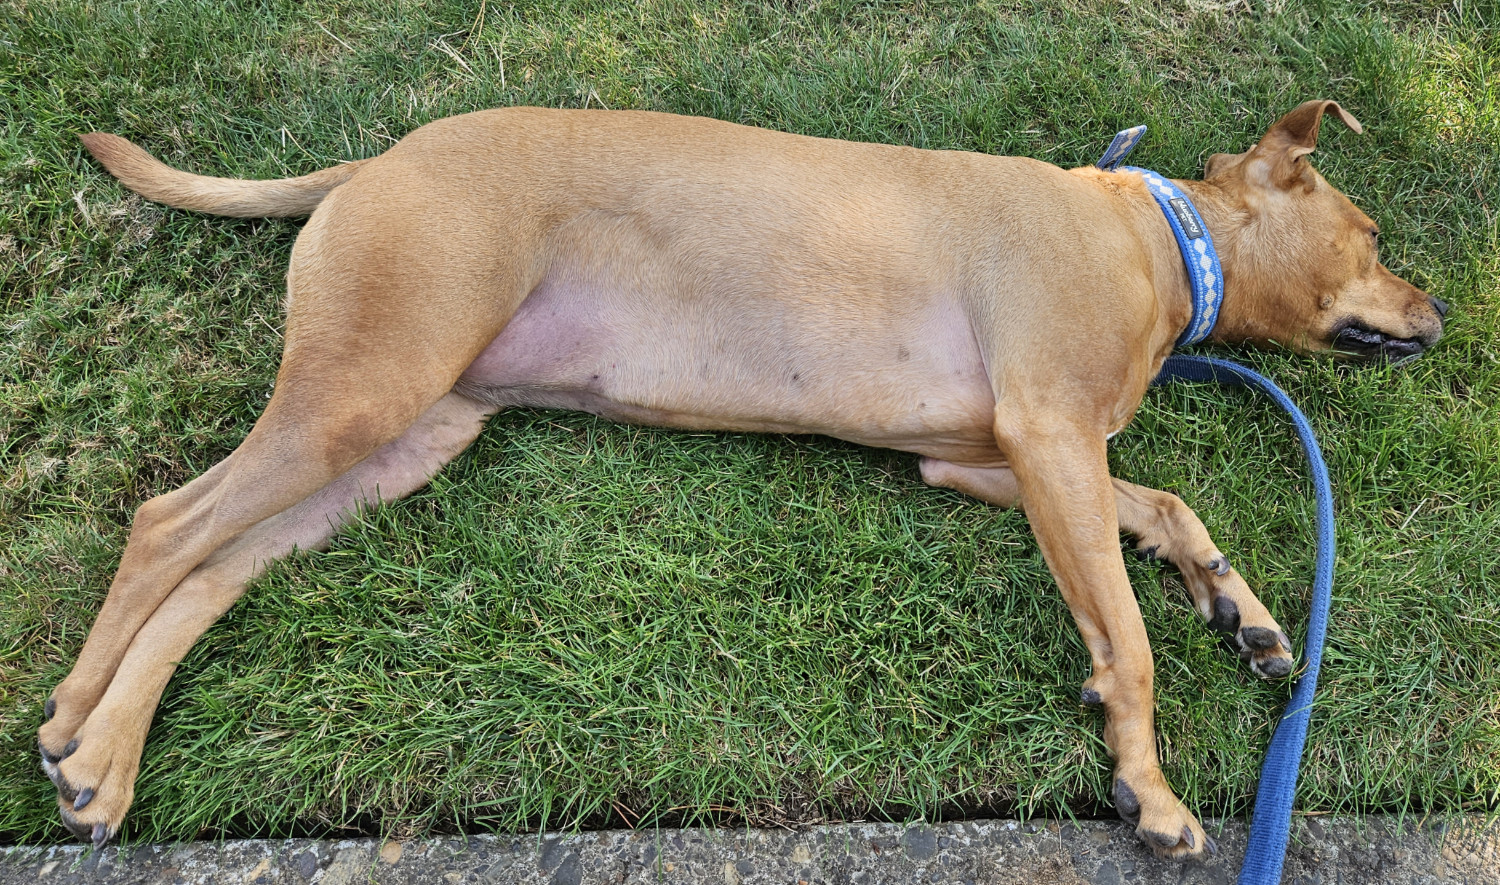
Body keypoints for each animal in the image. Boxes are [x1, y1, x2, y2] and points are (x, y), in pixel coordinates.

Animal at [38, 99, 1440, 858]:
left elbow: (1165, 509)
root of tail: (377, 161)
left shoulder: (990, 458)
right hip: (363, 388)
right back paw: (71, 719)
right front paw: (1147, 784)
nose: (1436, 312)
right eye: (1374, 237)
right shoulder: (1048, 437)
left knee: (214, 566)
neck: (1161, 236)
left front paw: (1236, 602)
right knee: (166, 524)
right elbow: (1128, 642)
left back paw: (105, 758)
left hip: (398, 440)